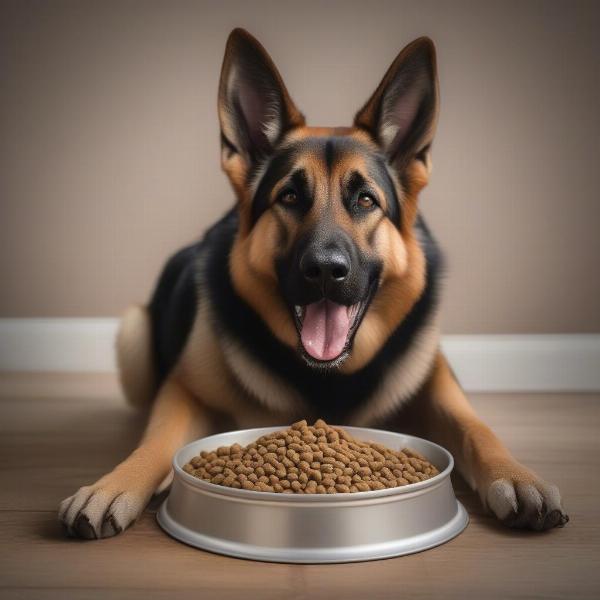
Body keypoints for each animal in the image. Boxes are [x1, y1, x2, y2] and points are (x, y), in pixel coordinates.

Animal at [58, 29, 568, 540]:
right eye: (289, 196)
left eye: (366, 200)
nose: (325, 269)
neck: (328, 377)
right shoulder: (184, 389)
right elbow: (155, 441)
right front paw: (112, 485)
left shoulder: (437, 381)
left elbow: (477, 428)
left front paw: (516, 476)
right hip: (132, 333)